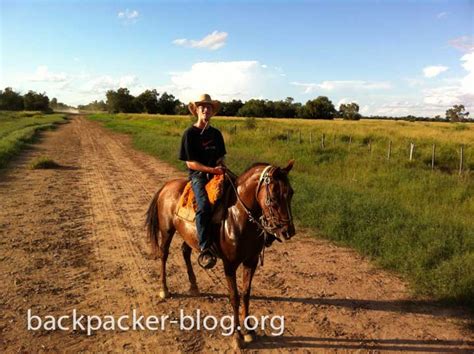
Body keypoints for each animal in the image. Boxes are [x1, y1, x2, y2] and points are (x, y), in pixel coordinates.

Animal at [145, 160, 296, 346]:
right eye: (273, 196)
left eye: (291, 193)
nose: (288, 231)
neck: (238, 216)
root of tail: (167, 186)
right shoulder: (229, 264)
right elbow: (234, 296)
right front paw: (237, 336)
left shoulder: (251, 261)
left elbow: (245, 294)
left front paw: (249, 330)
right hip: (167, 231)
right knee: (164, 255)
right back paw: (164, 289)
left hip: (189, 234)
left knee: (185, 251)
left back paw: (194, 286)